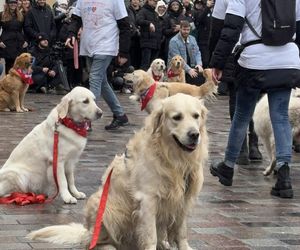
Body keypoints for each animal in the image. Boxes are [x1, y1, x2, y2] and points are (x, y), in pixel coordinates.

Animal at [27, 93, 209, 250]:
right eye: (177, 117)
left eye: (196, 116)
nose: (194, 134)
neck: (174, 159)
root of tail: (87, 231)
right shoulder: (148, 199)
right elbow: (151, 235)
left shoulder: (184, 199)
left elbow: (181, 232)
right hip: (106, 209)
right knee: (97, 242)